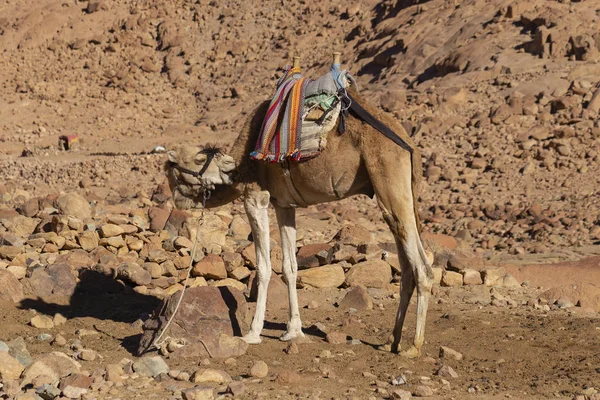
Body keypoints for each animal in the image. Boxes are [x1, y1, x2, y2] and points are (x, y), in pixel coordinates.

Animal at [165, 86, 432, 356]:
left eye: (200, 159)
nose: (230, 167)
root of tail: (410, 145)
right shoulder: (284, 205)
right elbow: (289, 267)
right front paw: (293, 331)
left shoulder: (255, 197)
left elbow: (263, 267)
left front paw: (252, 333)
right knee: (406, 266)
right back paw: (391, 341)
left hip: (389, 176)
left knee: (422, 267)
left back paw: (413, 347)